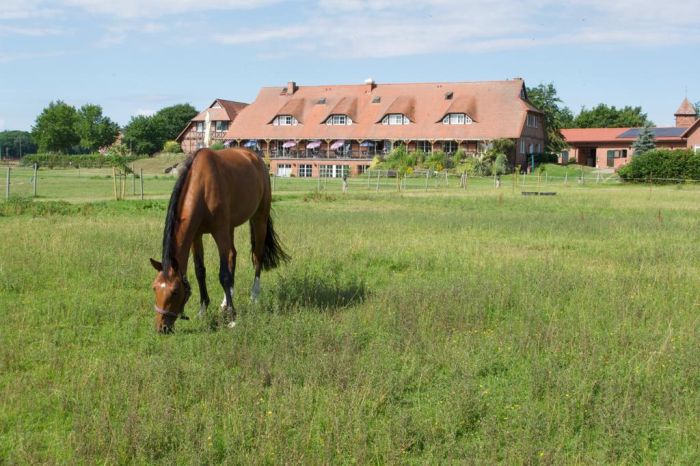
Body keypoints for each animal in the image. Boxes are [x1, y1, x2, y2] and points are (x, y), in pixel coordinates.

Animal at [149, 147, 288, 334]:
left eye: (175, 292)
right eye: (155, 287)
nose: (162, 328)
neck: (203, 187)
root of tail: (255, 157)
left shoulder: (219, 232)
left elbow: (224, 275)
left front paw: (232, 317)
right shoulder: (196, 235)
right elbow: (200, 271)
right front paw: (203, 309)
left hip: (259, 218)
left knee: (257, 257)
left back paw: (254, 297)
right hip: (231, 227)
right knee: (232, 255)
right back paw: (225, 301)